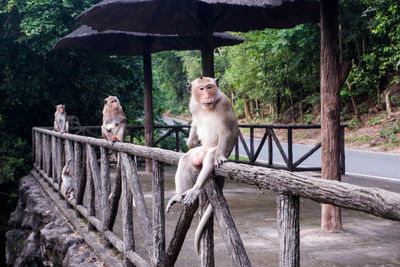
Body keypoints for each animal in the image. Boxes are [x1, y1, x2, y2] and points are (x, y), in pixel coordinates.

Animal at [165, 76, 238, 256]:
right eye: (201, 88)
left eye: (209, 87)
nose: (207, 95)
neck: (206, 106)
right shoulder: (193, 105)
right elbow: (195, 124)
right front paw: (189, 142)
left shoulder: (224, 103)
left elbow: (228, 130)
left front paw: (219, 157)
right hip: (199, 152)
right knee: (185, 159)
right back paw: (179, 194)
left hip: (212, 150)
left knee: (210, 158)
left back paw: (196, 188)